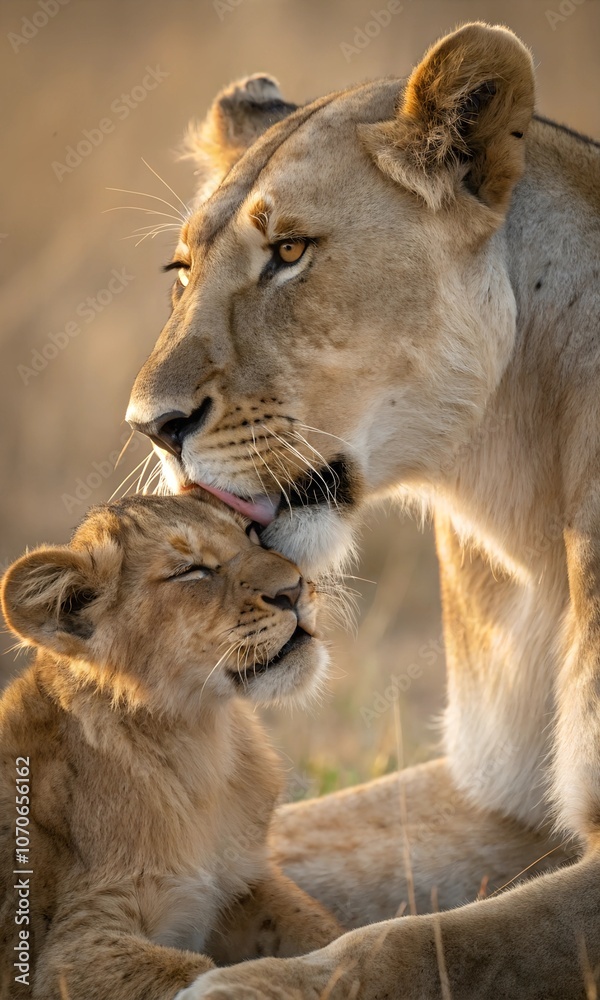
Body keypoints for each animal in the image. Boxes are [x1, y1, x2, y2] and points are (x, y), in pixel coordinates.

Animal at [0, 492, 342, 1000]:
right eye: (191, 571)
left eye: (251, 533)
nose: (294, 589)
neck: (199, 740)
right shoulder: (71, 949)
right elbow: (199, 972)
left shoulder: (244, 882)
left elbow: (326, 931)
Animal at [125, 20, 600, 999]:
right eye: (181, 272)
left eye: (291, 252)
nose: (150, 425)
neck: (522, 506)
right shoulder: (489, 795)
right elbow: (289, 839)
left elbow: (421, 944)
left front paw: (241, 988)